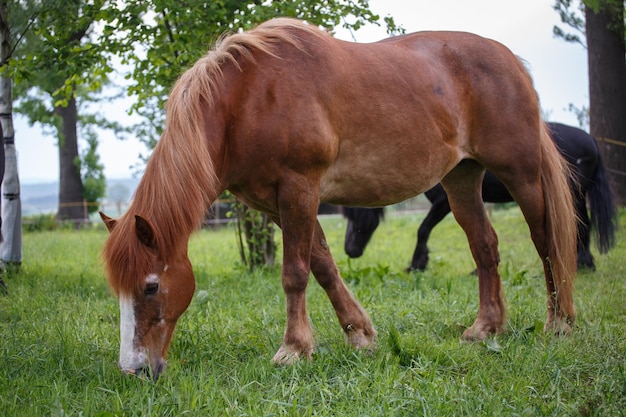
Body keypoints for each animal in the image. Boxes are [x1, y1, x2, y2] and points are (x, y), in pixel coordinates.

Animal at [98, 17, 576, 378]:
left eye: (151, 286)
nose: (133, 369)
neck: (248, 98)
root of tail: (511, 61)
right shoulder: (276, 203)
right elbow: (323, 265)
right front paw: (359, 335)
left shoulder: (299, 188)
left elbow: (294, 272)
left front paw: (293, 349)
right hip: (461, 179)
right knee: (484, 247)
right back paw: (486, 328)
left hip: (521, 174)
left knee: (546, 243)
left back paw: (559, 324)